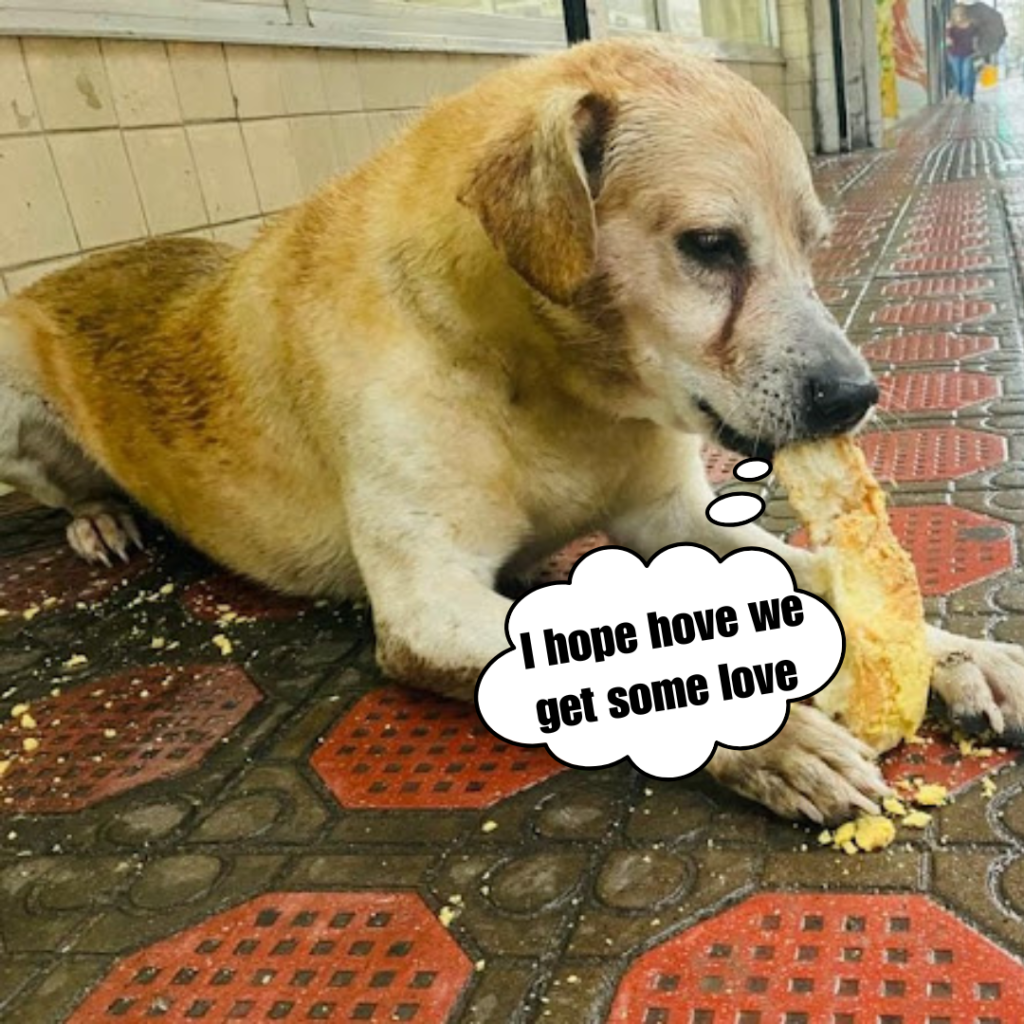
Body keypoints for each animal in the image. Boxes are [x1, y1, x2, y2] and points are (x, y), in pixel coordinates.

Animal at [2, 37, 1024, 823]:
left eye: (814, 245)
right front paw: (769, 744)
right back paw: (100, 519)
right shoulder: (427, 604)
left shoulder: (671, 522)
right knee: (67, 493)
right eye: (709, 246)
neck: (552, 387)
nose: (857, 396)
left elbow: (826, 581)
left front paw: (962, 657)